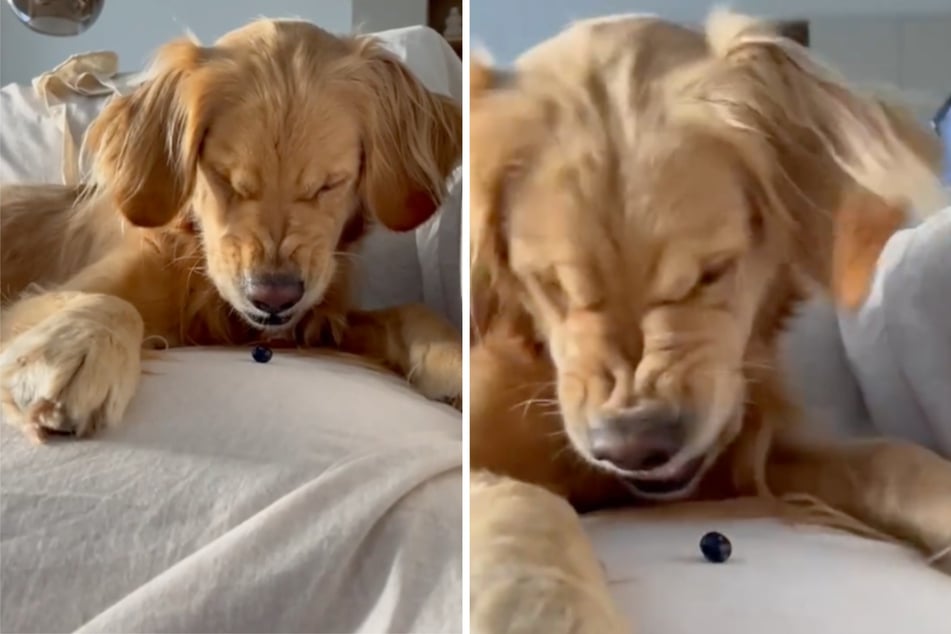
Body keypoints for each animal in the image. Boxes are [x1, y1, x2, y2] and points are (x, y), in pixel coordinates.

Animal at [0, 17, 462, 436]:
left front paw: (457, 363)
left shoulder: (319, 322)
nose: (273, 298)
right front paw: (77, 353)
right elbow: (112, 302)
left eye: (330, 184)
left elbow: (408, 311)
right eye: (225, 178)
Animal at [472, 9, 951, 632]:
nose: (633, 449)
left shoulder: (741, 455)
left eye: (712, 272)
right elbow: (525, 510)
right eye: (551, 284)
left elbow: (891, 457)